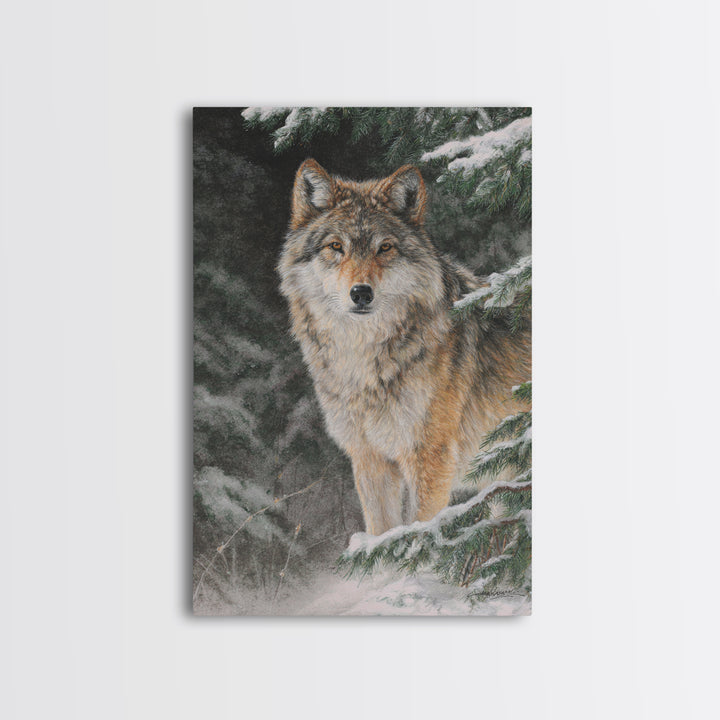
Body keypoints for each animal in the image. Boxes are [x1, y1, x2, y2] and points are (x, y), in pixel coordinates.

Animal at [278, 159, 531, 535]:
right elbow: (383, 535)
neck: (365, 363)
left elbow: (418, 534)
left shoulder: (429, 458)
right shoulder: (370, 459)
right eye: (336, 247)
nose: (361, 293)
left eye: (384, 248)